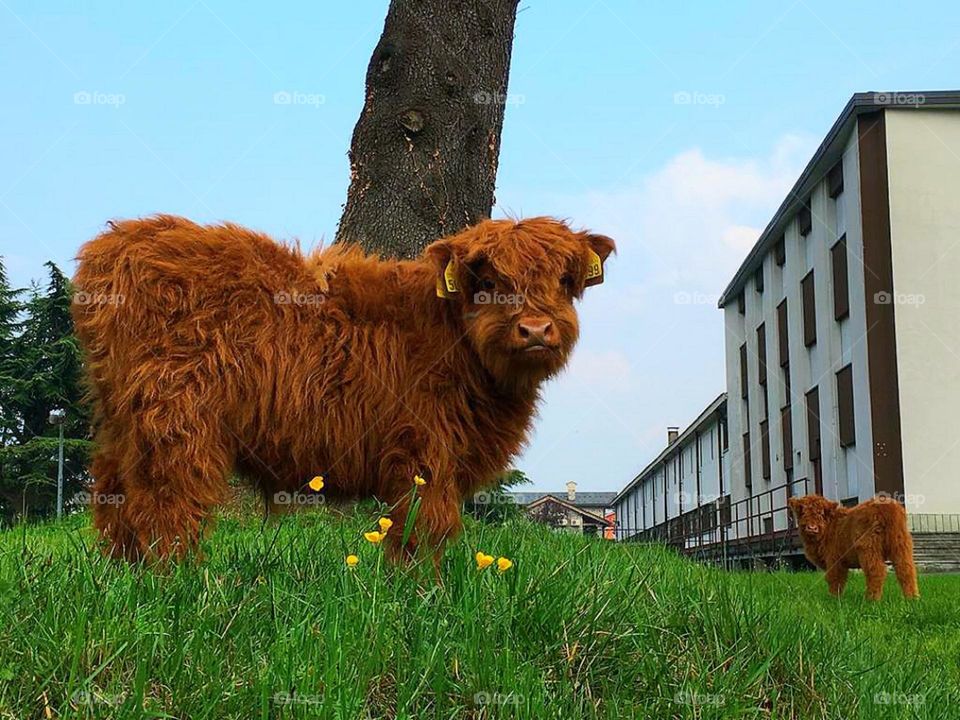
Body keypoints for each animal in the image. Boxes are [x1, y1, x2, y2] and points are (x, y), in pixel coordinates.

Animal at [73, 214, 616, 564]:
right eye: (487, 279)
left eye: (564, 279)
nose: (535, 329)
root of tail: (121, 243)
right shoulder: (424, 453)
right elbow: (425, 529)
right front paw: (425, 599)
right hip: (174, 421)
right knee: (167, 504)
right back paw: (178, 585)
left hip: (121, 422)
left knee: (113, 499)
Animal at [792, 492, 920, 600]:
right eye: (802, 512)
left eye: (821, 513)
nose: (811, 528)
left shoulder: (834, 560)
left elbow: (834, 578)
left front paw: (833, 598)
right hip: (901, 545)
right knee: (906, 569)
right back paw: (912, 598)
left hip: (868, 548)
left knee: (876, 571)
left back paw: (871, 599)